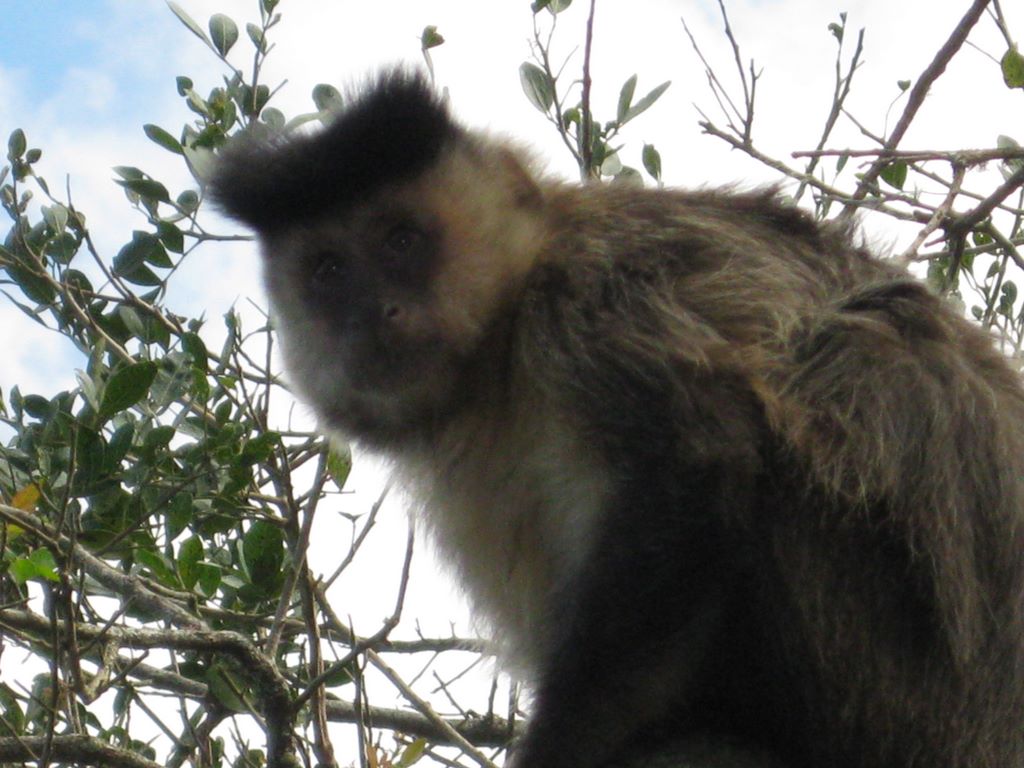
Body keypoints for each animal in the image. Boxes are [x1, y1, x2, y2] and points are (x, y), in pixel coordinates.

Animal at [209, 70, 1024, 768]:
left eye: (400, 241)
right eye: (329, 271)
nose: (373, 313)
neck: (502, 361)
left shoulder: (587, 295)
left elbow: (699, 461)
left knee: (849, 354)